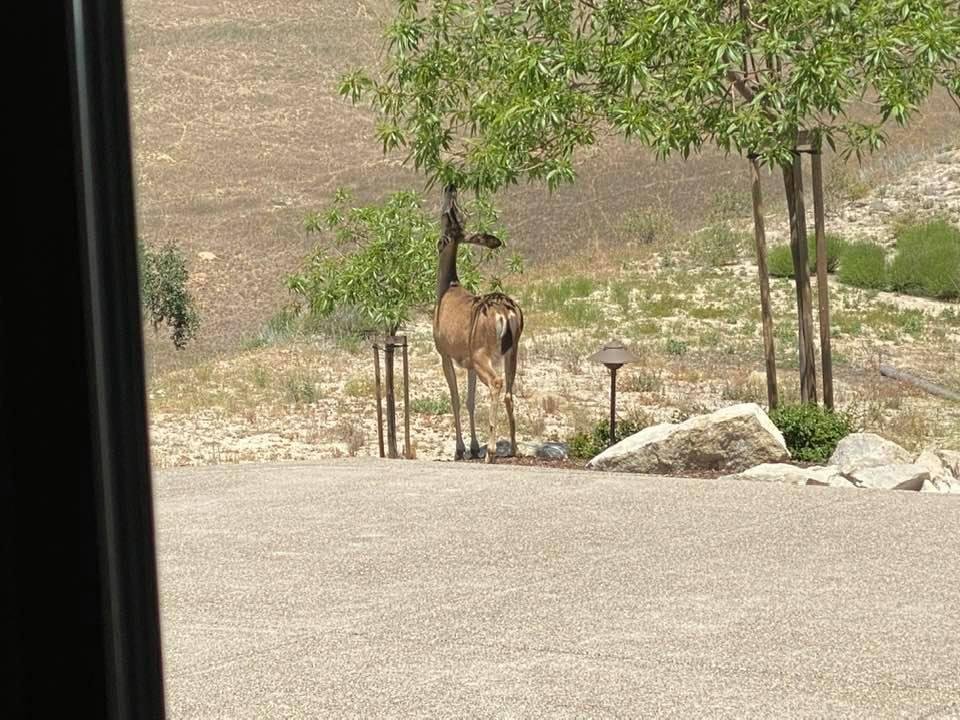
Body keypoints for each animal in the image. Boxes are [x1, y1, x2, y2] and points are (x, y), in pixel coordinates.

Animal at [433, 186, 524, 463]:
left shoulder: (445, 353)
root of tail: (505, 313)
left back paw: (491, 451)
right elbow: (470, 400)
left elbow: (455, 398)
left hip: (483, 352)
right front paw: (473, 447)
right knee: (509, 390)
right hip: (511, 351)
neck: (447, 288)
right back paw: (514, 448)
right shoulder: (468, 361)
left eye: (445, 217)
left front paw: (460, 449)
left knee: (497, 383)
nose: (450, 188)